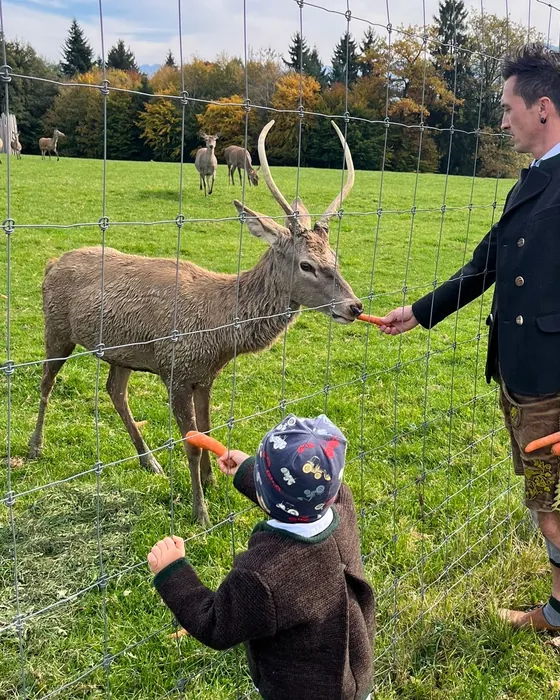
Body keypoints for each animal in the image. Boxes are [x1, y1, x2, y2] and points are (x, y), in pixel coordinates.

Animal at [27, 119, 362, 527]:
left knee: (114, 392)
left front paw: (212, 481)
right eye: (306, 265)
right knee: (46, 382)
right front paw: (199, 511)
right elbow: (191, 445)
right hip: (56, 329)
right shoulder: (176, 369)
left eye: (335, 256)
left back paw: (150, 462)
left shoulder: (204, 376)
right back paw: (35, 447)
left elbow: (207, 430)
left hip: (122, 353)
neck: (218, 333)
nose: (354, 306)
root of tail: (51, 264)